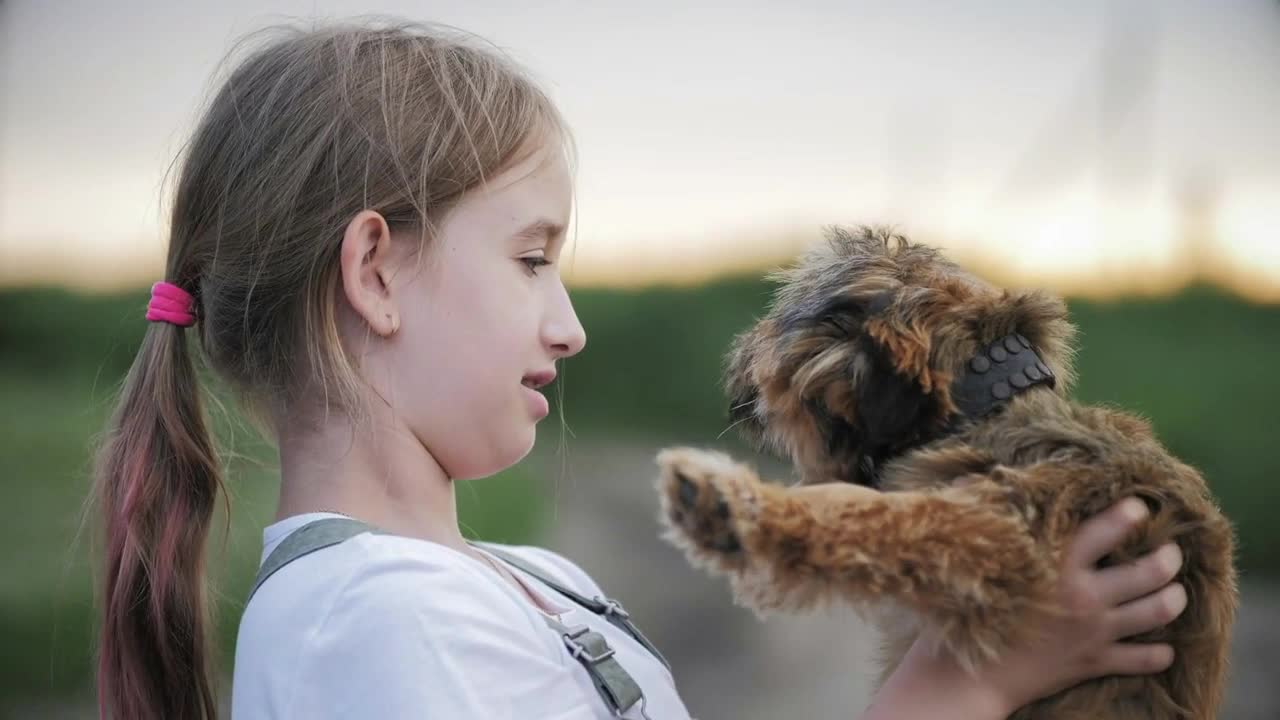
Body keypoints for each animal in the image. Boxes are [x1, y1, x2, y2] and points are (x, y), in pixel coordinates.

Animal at [655, 228, 1233, 717]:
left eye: (777, 319)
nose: (739, 351)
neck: (982, 407)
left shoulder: (1014, 537)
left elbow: (884, 518)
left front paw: (734, 505)